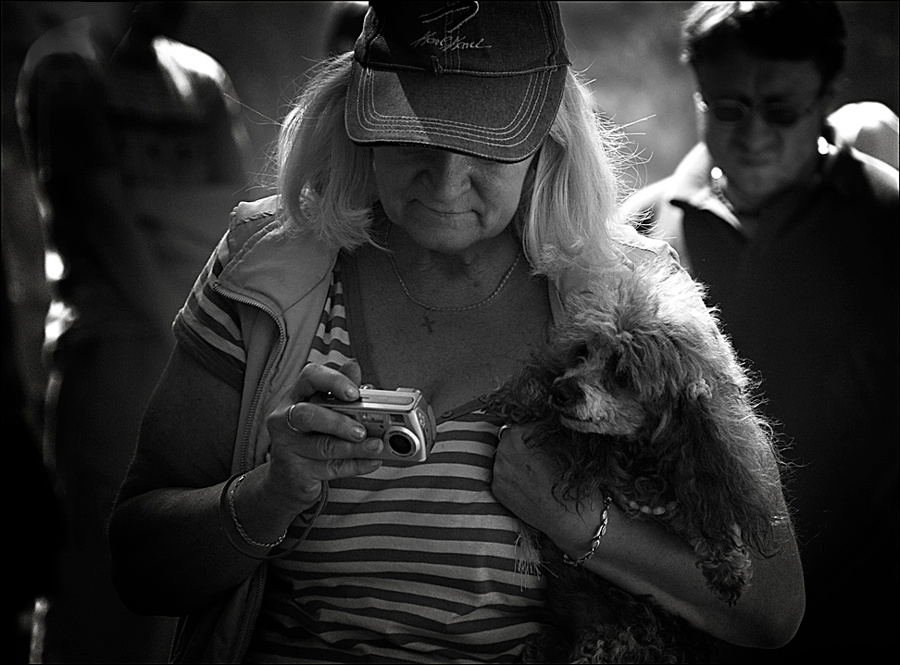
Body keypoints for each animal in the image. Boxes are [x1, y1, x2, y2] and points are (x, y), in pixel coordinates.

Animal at [487, 257, 789, 663]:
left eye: (622, 374)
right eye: (581, 353)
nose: (560, 391)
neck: (638, 459)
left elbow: (706, 508)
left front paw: (727, 562)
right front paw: (523, 399)